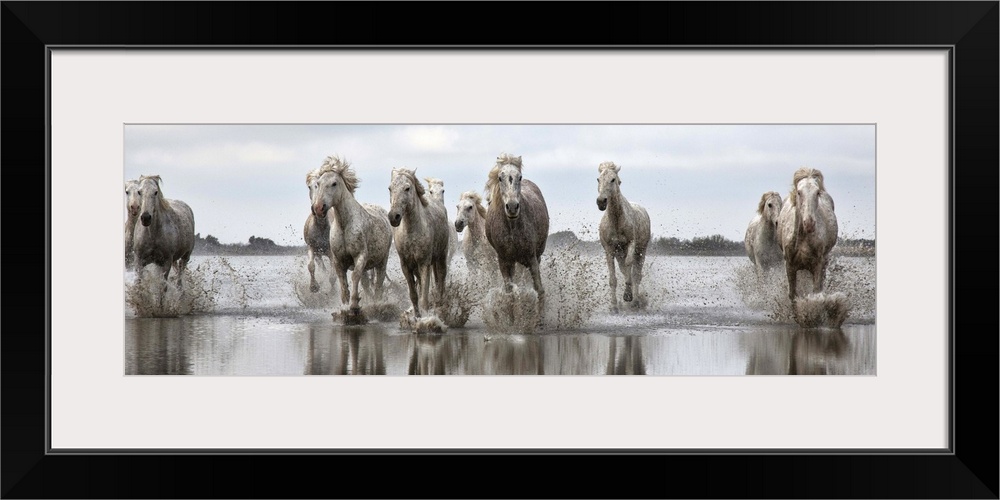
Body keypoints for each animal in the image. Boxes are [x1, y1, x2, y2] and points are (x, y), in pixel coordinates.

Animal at [308, 154, 394, 314]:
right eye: (318, 183)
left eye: (334, 183)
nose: (318, 208)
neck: (344, 225)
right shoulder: (338, 260)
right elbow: (342, 281)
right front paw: (345, 306)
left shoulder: (359, 257)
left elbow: (354, 277)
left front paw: (354, 305)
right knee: (367, 284)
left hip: (382, 261)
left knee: (378, 284)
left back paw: (376, 303)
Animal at [388, 168, 452, 316]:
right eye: (390, 188)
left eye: (407, 188)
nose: (394, 217)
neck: (411, 233)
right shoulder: (406, 266)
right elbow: (414, 295)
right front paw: (416, 317)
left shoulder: (424, 264)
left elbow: (424, 298)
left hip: (441, 258)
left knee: (441, 282)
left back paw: (440, 306)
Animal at [482, 154, 548, 322]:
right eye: (500, 178)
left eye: (519, 176)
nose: (512, 207)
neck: (512, 229)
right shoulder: (504, 261)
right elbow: (509, 294)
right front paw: (512, 322)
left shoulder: (531, 258)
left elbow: (539, 289)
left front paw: (540, 320)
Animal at [596, 161, 652, 312]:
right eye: (598, 179)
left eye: (613, 179)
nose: (601, 201)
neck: (616, 221)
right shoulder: (609, 250)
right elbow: (613, 278)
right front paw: (614, 306)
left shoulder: (631, 244)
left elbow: (629, 266)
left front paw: (628, 296)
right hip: (619, 253)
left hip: (641, 250)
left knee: (636, 274)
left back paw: (635, 301)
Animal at [776, 167, 840, 304]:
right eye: (799, 192)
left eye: (817, 193)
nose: (809, 223)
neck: (803, 239)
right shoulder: (790, 266)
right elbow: (792, 295)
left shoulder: (818, 265)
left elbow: (816, 294)